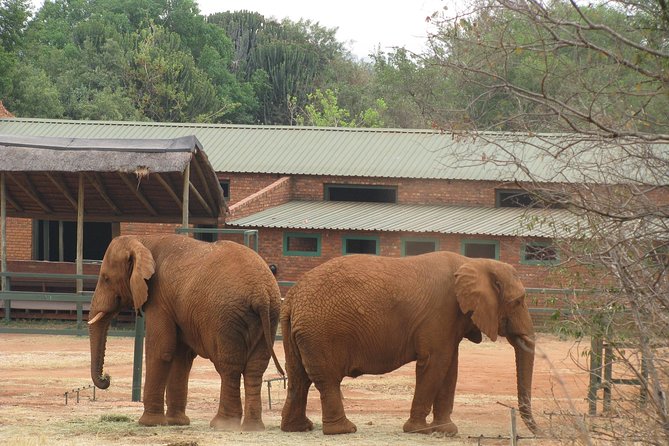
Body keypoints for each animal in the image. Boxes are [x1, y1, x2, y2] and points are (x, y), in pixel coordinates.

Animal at [87, 234, 284, 431]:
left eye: (106, 278)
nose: (106, 377)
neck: (142, 241)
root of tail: (261, 294)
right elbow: (181, 356)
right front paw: (176, 422)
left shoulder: (159, 299)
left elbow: (160, 350)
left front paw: (149, 423)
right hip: (269, 317)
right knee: (255, 368)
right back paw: (252, 427)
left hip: (226, 317)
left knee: (229, 366)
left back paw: (222, 424)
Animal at [280, 251, 539, 436]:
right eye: (518, 302)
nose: (539, 433)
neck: (474, 262)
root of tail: (292, 296)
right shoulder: (441, 313)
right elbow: (436, 363)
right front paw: (419, 430)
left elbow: (450, 367)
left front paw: (446, 431)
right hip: (322, 332)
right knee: (327, 380)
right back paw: (344, 430)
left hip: (301, 331)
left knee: (298, 378)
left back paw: (299, 428)